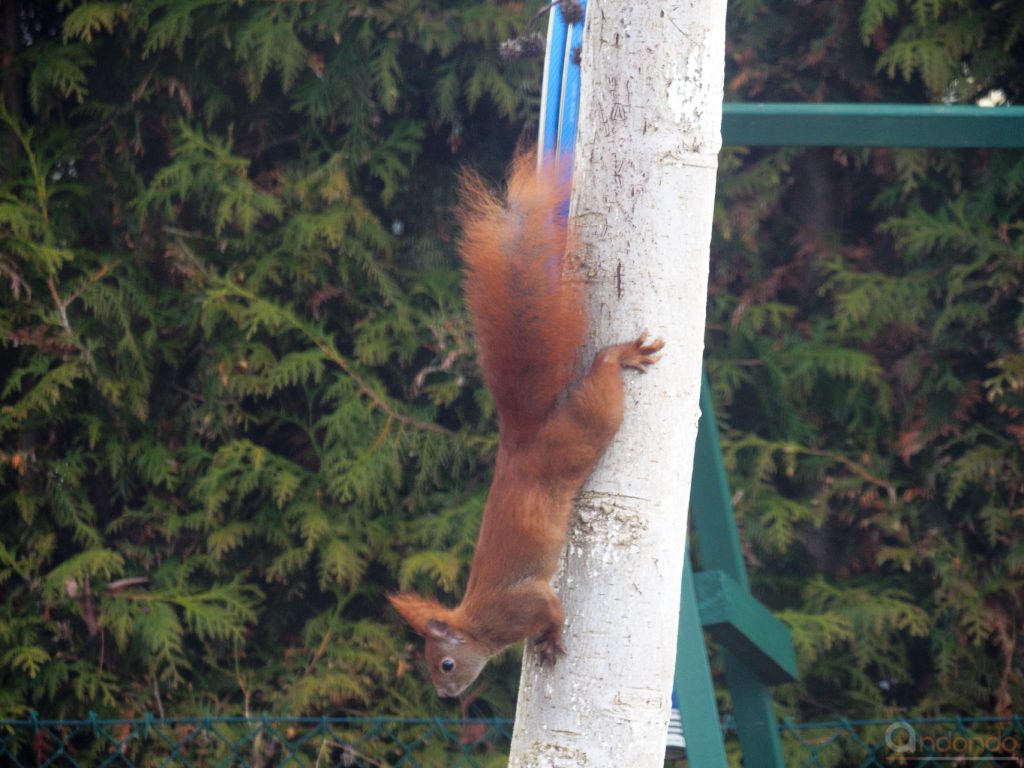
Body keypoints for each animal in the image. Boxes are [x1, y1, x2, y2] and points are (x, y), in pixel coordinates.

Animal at [389, 151, 663, 704]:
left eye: (445, 663)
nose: (445, 697)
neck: (476, 624)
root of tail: (519, 443)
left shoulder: (521, 604)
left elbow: (550, 608)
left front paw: (551, 639)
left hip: (585, 428)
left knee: (603, 379)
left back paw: (620, 355)